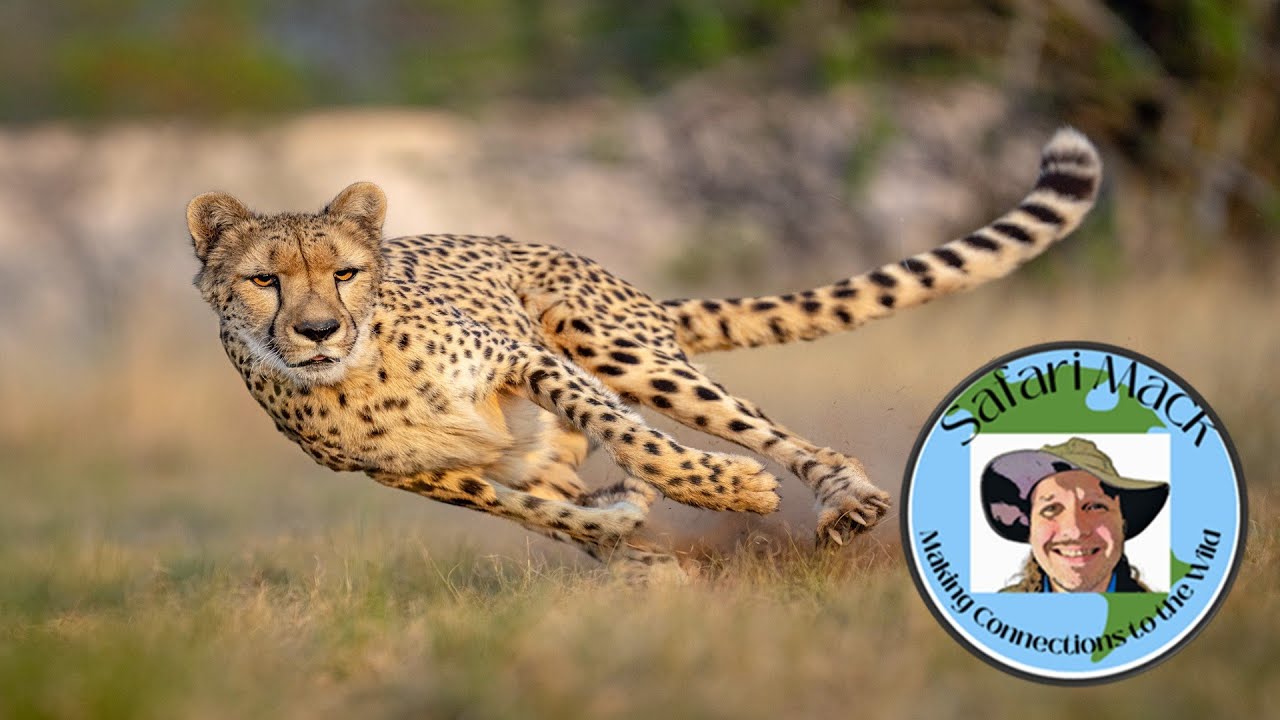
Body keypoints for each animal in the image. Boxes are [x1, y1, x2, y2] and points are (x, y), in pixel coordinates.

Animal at [187, 128, 1101, 581]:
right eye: (266, 280)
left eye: (344, 273)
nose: (317, 331)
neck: (362, 371)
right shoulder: (420, 476)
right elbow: (548, 513)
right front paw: (631, 541)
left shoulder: (526, 360)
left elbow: (638, 439)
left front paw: (723, 487)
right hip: (542, 438)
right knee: (562, 488)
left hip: (614, 342)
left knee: (765, 435)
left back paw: (843, 500)